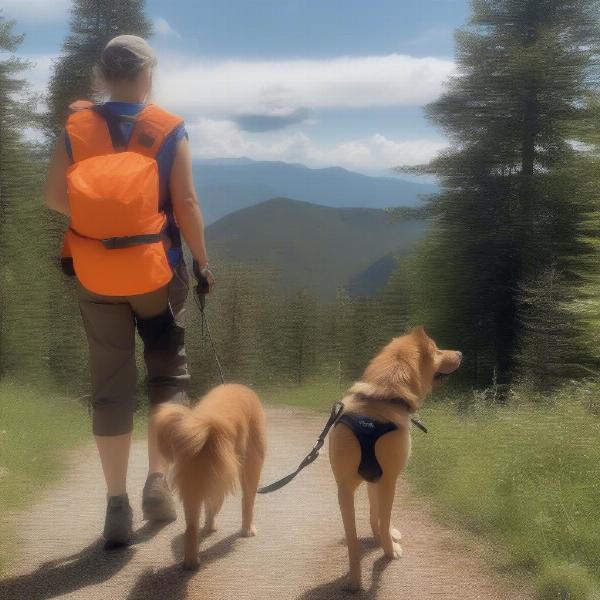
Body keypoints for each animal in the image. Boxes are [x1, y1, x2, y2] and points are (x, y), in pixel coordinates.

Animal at [156, 382, 266, 568]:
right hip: (240, 470)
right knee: (244, 501)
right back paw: (245, 529)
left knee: (191, 527)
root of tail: (210, 426)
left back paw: (191, 561)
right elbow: (247, 502)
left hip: (193, 483)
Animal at [330, 326, 462, 588]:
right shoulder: (389, 480)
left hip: (345, 489)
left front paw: (382, 537)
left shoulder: (374, 479)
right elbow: (384, 516)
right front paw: (389, 549)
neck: (382, 397)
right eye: (437, 349)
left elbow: (376, 517)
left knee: (352, 540)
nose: (461, 353)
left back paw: (356, 580)